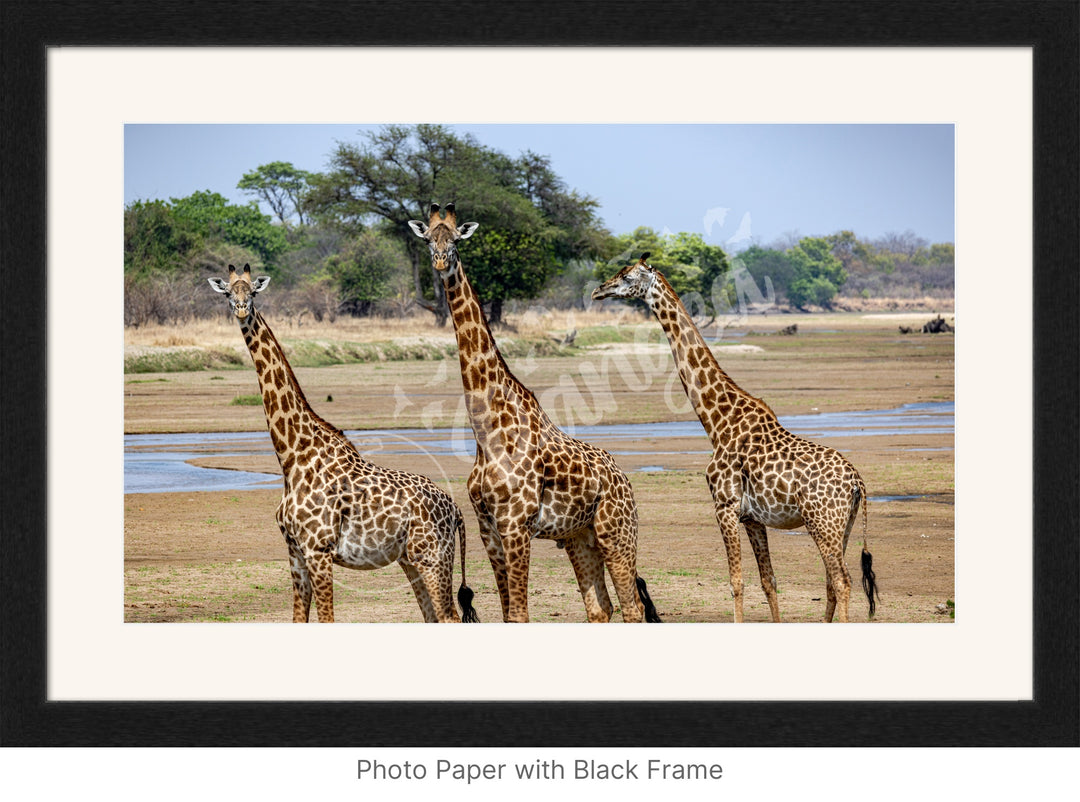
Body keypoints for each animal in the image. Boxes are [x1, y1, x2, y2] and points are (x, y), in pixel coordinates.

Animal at [208, 266, 479, 626]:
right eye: (228, 293)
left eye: (252, 292)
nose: (240, 310)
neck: (291, 455)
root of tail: (456, 509)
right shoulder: (295, 551)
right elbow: (298, 620)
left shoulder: (319, 550)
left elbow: (327, 619)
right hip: (410, 559)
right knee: (431, 617)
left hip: (433, 557)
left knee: (448, 616)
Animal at [406, 204, 656, 626]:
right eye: (428, 239)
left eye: (455, 239)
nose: (441, 262)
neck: (486, 432)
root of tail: (623, 478)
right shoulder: (488, 529)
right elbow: (510, 615)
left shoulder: (516, 526)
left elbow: (521, 615)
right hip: (580, 537)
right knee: (600, 607)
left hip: (617, 532)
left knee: (633, 607)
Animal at [596, 253, 881, 626]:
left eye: (626, 275)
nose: (598, 290)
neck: (717, 423)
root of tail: (857, 481)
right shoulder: (753, 518)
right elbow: (768, 580)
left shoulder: (725, 506)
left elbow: (736, 581)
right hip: (841, 526)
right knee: (832, 582)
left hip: (823, 522)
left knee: (843, 581)